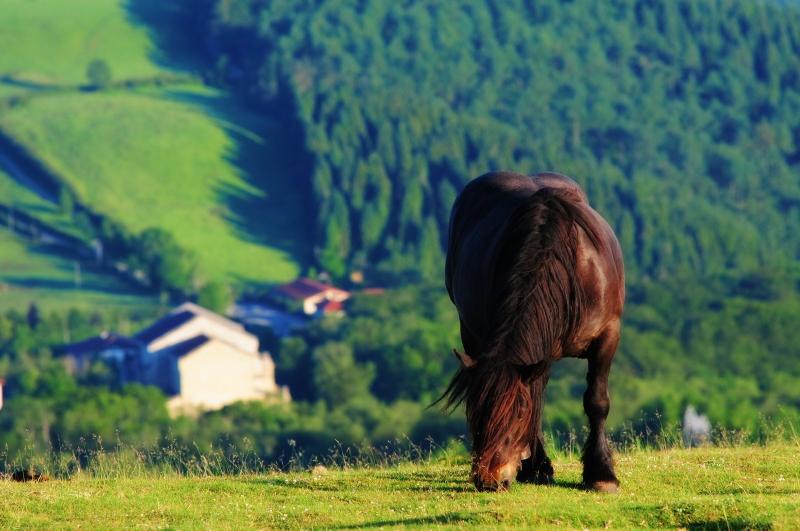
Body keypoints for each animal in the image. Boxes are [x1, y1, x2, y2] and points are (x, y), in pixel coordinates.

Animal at [444, 172, 624, 492]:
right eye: (475, 412)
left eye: (517, 415)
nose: (488, 480)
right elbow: (538, 403)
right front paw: (538, 468)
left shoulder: (607, 335)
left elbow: (596, 401)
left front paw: (601, 474)